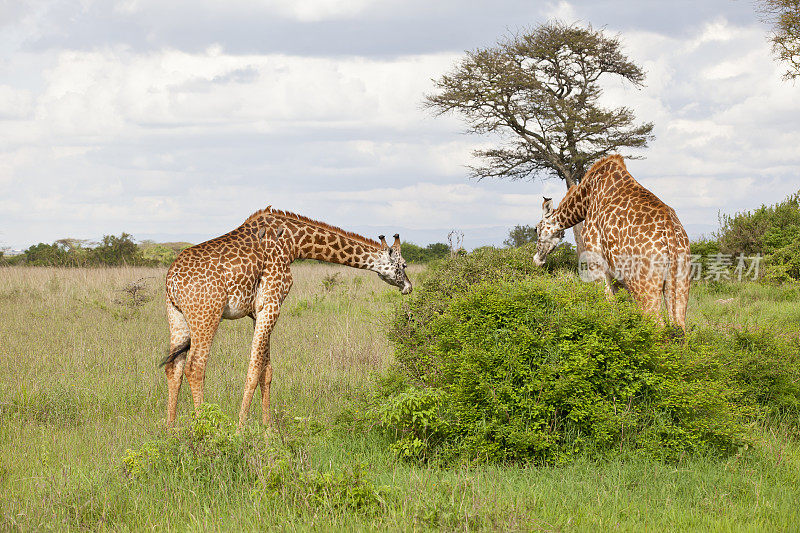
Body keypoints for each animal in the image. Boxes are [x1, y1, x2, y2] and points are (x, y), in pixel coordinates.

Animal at [161, 206, 412, 426]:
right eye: (404, 265)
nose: (408, 287)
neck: (293, 243)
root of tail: (172, 280)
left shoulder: (258, 312)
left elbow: (266, 371)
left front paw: (268, 428)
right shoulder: (272, 304)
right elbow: (254, 370)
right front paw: (241, 428)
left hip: (176, 315)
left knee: (174, 367)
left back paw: (171, 429)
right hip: (207, 314)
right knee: (195, 367)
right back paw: (205, 427)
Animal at [532, 152, 688, 330]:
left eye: (536, 229)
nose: (537, 260)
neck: (587, 196)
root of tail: (670, 233)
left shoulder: (597, 265)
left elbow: (608, 305)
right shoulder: (617, 276)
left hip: (644, 285)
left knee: (657, 325)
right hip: (680, 282)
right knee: (680, 325)